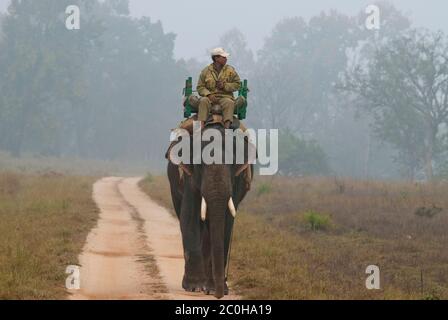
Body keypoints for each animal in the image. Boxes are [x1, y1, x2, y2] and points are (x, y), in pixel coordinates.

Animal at [166, 121, 254, 298]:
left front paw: (214, 289)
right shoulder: (190, 177)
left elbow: (226, 222)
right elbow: (189, 217)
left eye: (233, 162)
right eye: (200, 164)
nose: (219, 295)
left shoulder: (237, 180)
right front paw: (194, 287)